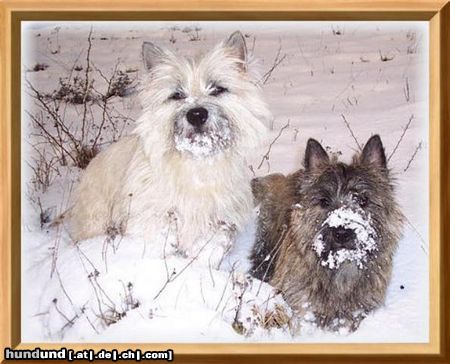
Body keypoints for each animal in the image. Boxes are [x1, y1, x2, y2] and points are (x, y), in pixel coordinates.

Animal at [67, 31, 270, 264]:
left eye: (217, 89)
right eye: (177, 94)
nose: (196, 114)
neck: (197, 162)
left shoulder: (218, 221)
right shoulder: (154, 216)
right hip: (95, 217)